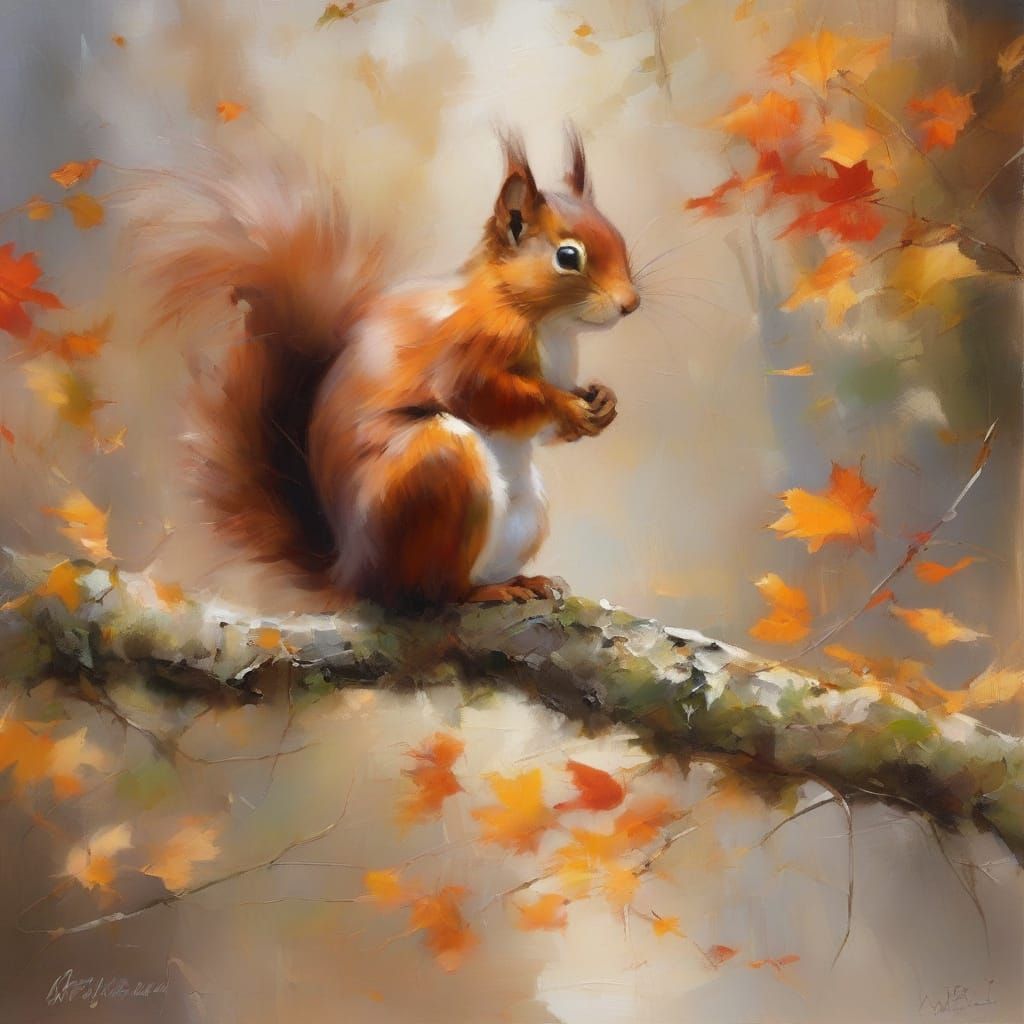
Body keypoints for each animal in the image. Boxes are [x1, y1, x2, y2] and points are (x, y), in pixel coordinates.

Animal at [149, 127, 638, 609]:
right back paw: (485, 591)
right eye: (568, 257)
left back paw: (526, 579)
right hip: (439, 466)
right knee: (433, 593)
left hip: (523, 513)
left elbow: (542, 431)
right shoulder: (467, 352)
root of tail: (351, 572)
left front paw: (603, 401)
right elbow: (482, 396)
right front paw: (567, 406)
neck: (542, 321)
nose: (630, 304)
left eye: (620, 238)